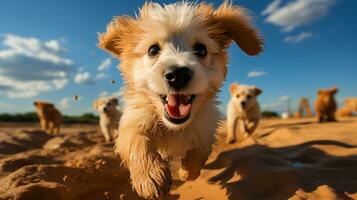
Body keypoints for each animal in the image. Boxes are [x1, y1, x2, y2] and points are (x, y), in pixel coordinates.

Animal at [97, 1, 262, 198]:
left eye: (201, 49)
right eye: (153, 49)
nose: (177, 75)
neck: (173, 127)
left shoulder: (205, 129)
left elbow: (199, 154)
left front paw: (186, 172)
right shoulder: (133, 121)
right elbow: (136, 142)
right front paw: (149, 176)